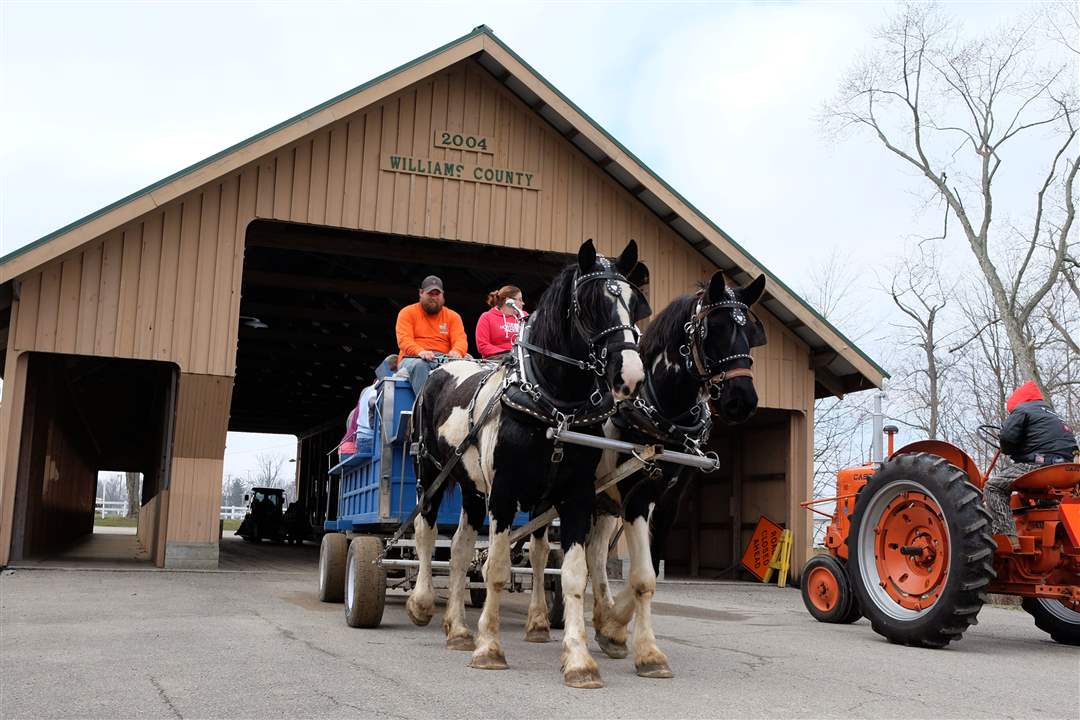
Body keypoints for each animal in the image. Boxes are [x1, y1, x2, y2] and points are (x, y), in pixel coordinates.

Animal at [406, 240, 648, 686]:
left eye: (636, 303)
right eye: (591, 303)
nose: (631, 375)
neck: (552, 403)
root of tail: (442, 369)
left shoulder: (575, 498)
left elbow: (572, 574)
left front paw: (578, 660)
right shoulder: (502, 495)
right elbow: (498, 569)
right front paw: (489, 648)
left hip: (471, 489)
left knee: (462, 551)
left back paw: (458, 630)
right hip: (430, 474)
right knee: (426, 535)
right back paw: (422, 603)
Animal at [583, 273, 768, 677]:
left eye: (751, 333)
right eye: (714, 329)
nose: (742, 400)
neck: (659, 413)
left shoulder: (669, 500)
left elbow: (649, 571)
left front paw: (614, 629)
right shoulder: (636, 493)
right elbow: (642, 576)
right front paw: (648, 653)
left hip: (603, 503)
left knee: (594, 553)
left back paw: (602, 613)